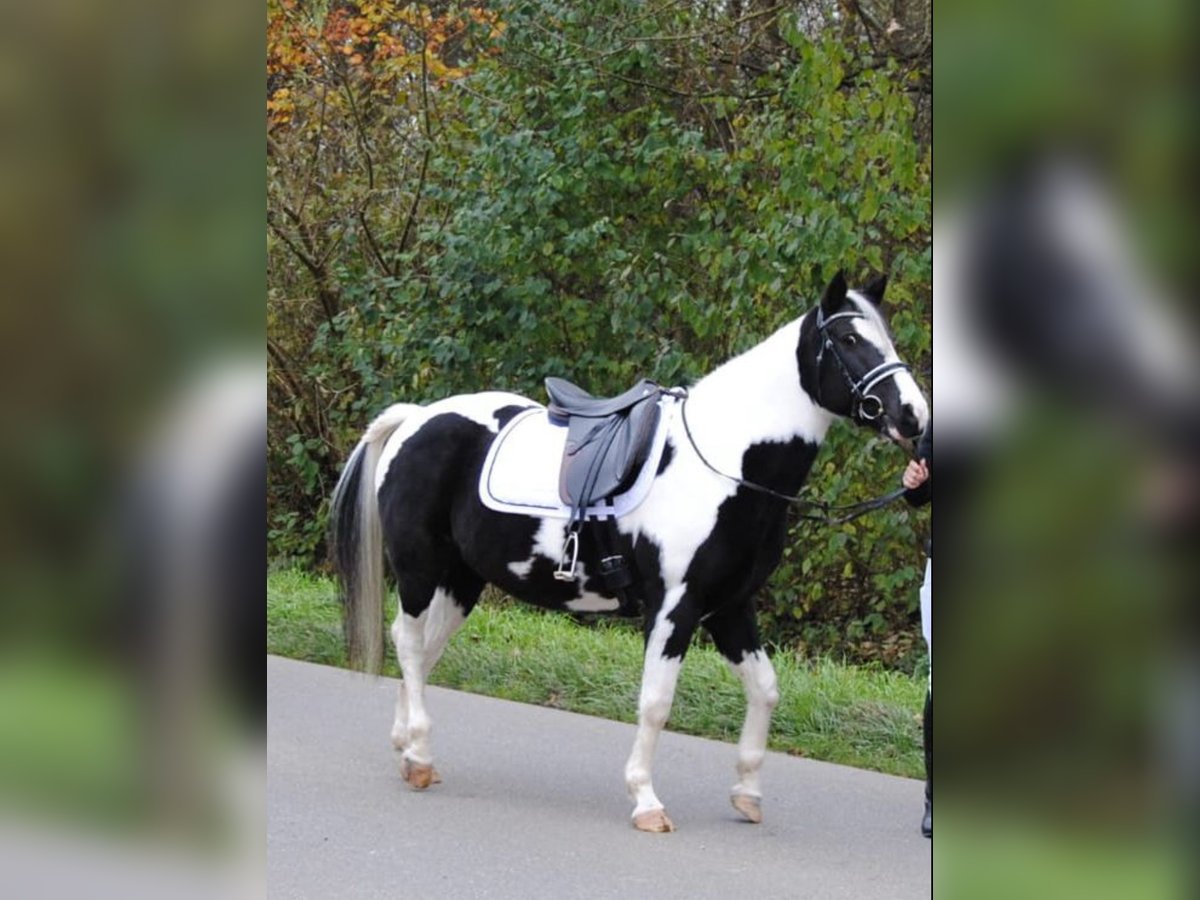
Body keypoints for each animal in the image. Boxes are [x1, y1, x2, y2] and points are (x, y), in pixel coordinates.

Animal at [330, 272, 929, 832]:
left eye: (888, 335)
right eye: (850, 338)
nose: (914, 418)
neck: (726, 465)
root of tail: (415, 418)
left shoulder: (731, 608)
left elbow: (765, 690)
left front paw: (747, 793)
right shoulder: (673, 608)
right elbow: (656, 703)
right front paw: (645, 801)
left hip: (462, 581)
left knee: (425, 651)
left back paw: (409, 751)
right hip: (420, 570)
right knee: (408, 643)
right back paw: (420, 753)